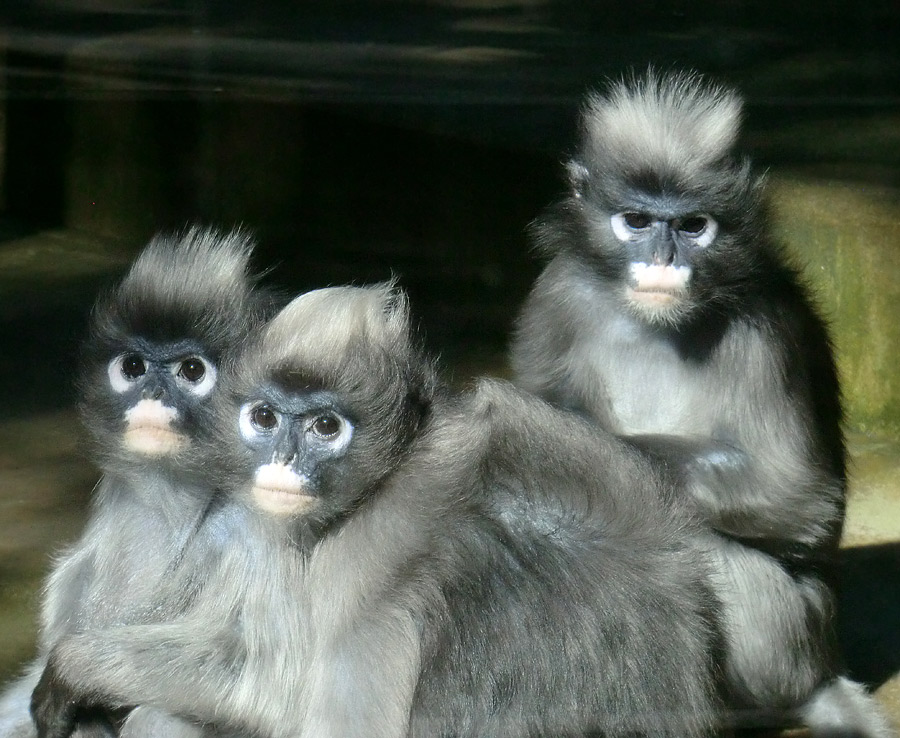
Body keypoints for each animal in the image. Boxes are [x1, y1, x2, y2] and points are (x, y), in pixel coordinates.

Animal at [35, 280, 720, 736]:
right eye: (264, 419)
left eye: (326, 427)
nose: (281, 462)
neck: (399, 468)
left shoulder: (369, 554)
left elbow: (276, 696)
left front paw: (73, 667)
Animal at [510, 69, 896, 736]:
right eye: (637, 221)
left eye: (693, 227)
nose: (663, 260)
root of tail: (823, 668)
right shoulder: (558, 290)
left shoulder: (763, 329)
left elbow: (795, 492)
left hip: (791, 645)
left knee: (701, 549)